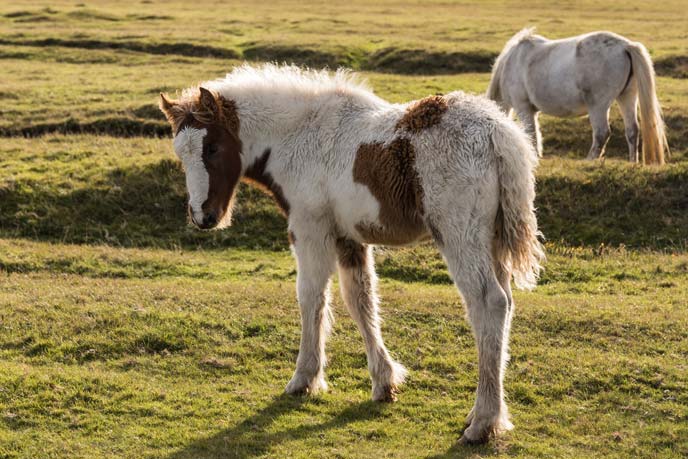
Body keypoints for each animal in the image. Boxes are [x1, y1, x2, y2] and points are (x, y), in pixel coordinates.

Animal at [160, 64, 544, 446]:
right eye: (181, 153)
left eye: (212, 147)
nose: (202, 216)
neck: (298, 136)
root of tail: (497, 132)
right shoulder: (349, 239)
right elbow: (360, 300)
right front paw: (384, 382)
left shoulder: (310, 228)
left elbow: (311, 297)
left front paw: (304, 379)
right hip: (493, 242)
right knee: (506, 303)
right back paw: (488, 414)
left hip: (459, 235)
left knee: (488, 302)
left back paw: (482, 423)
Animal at [486, 28, 668, 165]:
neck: (510, 63)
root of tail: (625, 46)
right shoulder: (530, 110)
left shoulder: (523, 107)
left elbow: (530, 134)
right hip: (627, 98)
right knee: (632, 130)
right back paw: (632, 163)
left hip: (598, 106)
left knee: (602, 133)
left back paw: (589, 160)